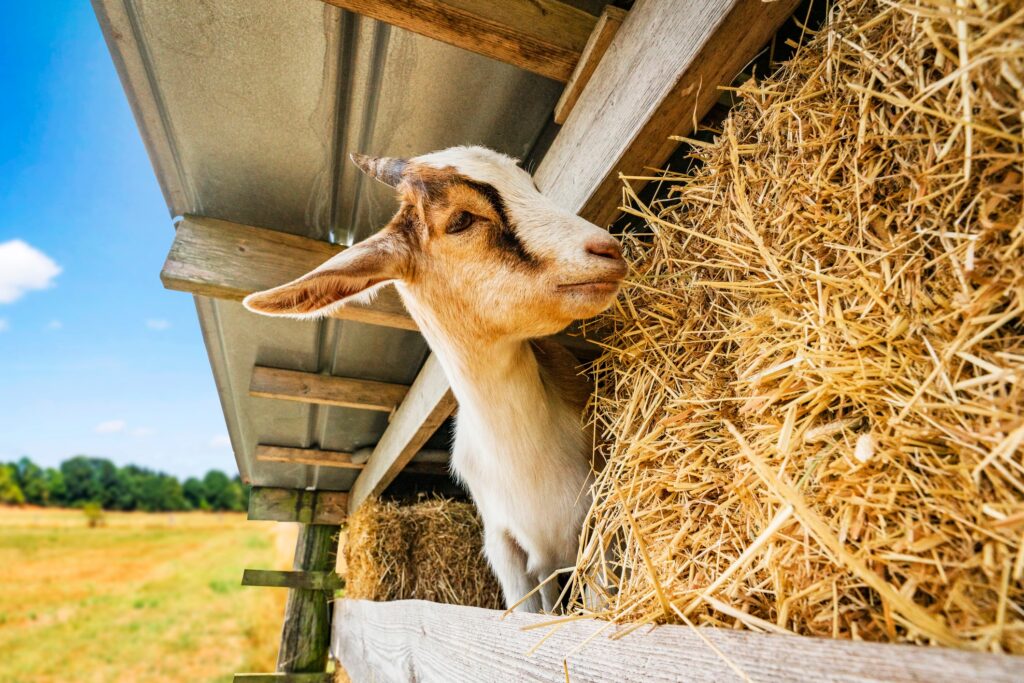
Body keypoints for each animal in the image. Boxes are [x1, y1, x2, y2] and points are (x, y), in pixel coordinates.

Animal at [243, 146, 625, 612]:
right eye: (460, 219)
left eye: (531, 186)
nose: (607, 249)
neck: (529, 463)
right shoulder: (510, 556)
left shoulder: (598, 531)